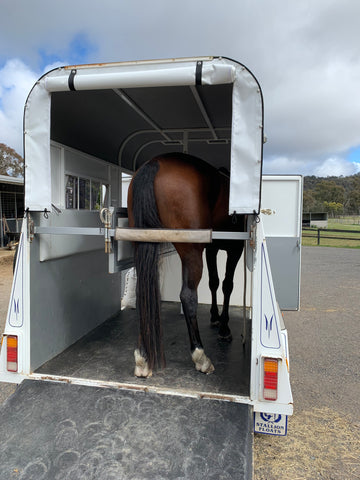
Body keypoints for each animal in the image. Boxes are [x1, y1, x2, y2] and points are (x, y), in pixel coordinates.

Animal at [127, 152, 245, 376]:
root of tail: (154, 163)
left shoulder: (211, 250)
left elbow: (214, 282)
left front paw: (215, 317)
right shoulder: (234, 250)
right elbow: (227, 285)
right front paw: (224, 327)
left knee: (142, 291)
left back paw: (142, 356)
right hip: (191, 252)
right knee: (188, 295)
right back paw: (200, 355)